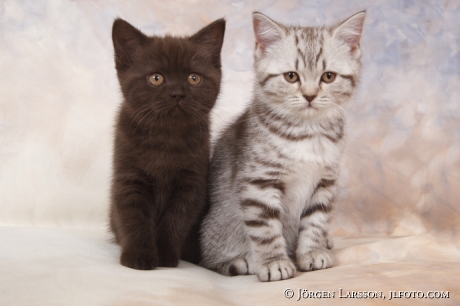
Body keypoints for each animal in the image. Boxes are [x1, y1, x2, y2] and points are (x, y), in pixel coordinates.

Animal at [111, 17, 226, 270]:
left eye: (193, 78)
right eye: (156, 78)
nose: (177, 93)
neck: (166, 138)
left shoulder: (191, 184)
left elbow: (176, 220)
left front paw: (164, 256)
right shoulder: (129, 178)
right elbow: (134, 216)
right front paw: (138, 255)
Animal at [201, 10, 366, 280]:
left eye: (328, 76)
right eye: (291, 76)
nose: (309, 95)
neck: (307, 133)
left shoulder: (325, 181)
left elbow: (316, 220)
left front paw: (313, 252)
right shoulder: (259, 182)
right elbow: (265, 228)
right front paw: (274, 262)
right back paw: (242, 260)